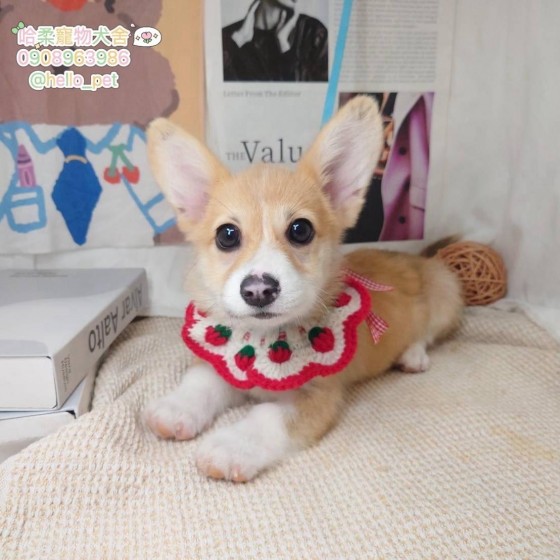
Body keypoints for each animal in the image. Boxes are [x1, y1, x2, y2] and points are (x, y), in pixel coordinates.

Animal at [143, 96, 463, 482]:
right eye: (227, 235)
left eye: (300, 230)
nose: (258, 290)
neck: (262, 340)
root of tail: (421, 257)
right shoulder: (222, 365)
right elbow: (200, 383)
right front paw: (176, 409)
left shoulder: (315, 397)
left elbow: (265, 418)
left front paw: (229, 447)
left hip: (447, 291)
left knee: (427, 333)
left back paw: (413, 355)